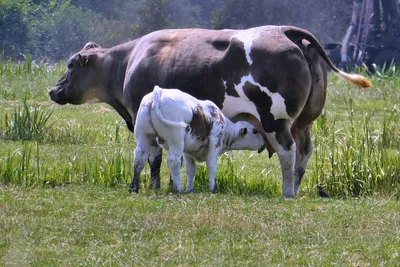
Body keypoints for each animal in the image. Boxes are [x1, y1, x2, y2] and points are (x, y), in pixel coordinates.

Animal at [130, 87, 268, 194]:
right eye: (255, 131)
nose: (265, 142)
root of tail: (159, 91)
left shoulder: (188, 152)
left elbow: (191, 170)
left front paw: (190, 189)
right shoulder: (215, 142)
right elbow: (211, 166)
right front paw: (213, 188)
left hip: (143, 137)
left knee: (139, 159)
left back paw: (133, 188)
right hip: (176, 140)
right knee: (173, 161)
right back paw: (177, 189)